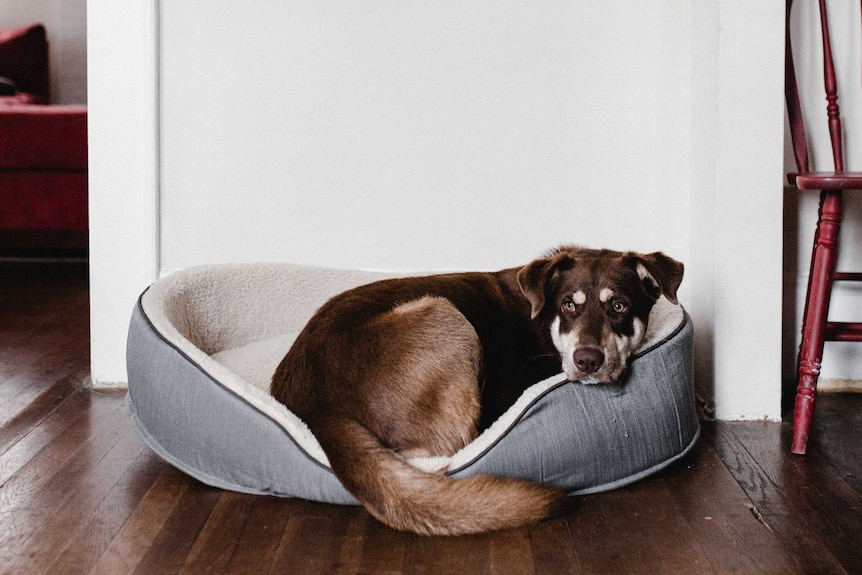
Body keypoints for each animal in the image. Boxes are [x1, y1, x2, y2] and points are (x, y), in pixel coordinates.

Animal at [272, 246, 688, 536]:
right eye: (569, 304)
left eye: (618, 306)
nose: (587, 360)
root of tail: (317, 408)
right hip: (446, 315)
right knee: (451, 450)